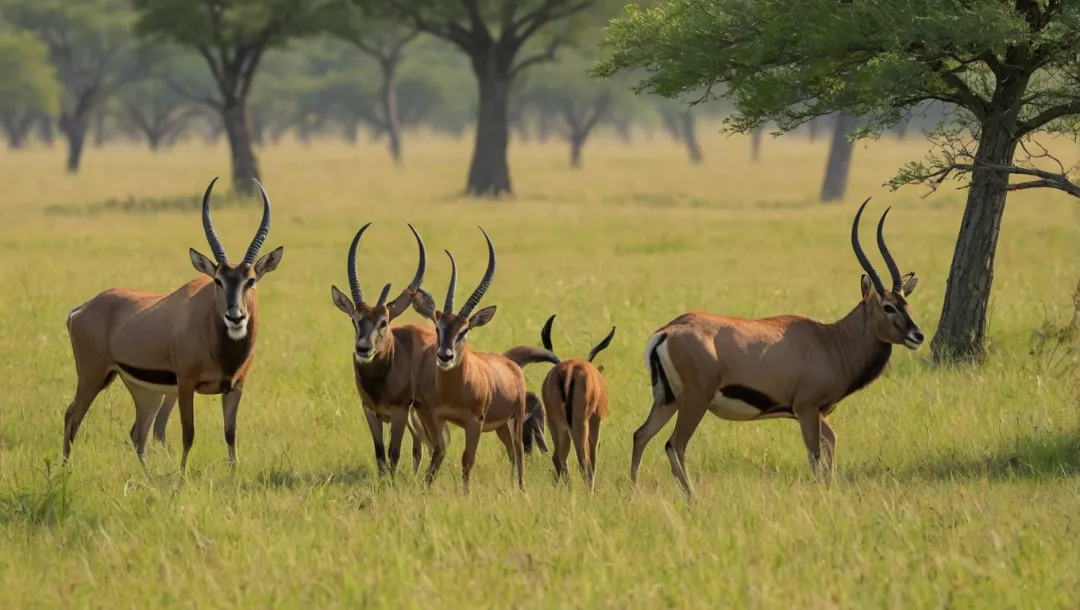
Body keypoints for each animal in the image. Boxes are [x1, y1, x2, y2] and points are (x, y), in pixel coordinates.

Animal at [61, 177, 282, 475]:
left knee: (138, 434)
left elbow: (230, 434)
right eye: (218, 280)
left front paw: (233, 477)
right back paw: (62, 475)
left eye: (251, 280)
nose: (235, 317)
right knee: (72, 417)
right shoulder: (187, 385)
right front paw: (181, 479)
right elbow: (189, 434)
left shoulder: (235, 386)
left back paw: (151, 479)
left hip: (146, 392)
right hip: (93, 377)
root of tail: (81, 309)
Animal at [328, 221, 447, 477]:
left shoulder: (399, 413)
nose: (363, 348)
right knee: (420, 444)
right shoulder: (370, 411)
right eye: (355, 319)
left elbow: (394, 452)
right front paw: (384, 479)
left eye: (383, 322)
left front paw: (391, 482)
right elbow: (380, 453)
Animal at [410, 225, 557, 492]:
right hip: (500, 427)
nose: (445, 356)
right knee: (511, 453)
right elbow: (438, 452)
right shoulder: (437, 417)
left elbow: (467, 459)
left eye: (464, 330)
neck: (455, 388)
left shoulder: (474, 422)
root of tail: (510, 362)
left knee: (520, 453)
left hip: (515, 421)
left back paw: (521, 488)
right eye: (437, 327)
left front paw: (465, 494)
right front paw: (425, 489)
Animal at [535, 317, 613, 488]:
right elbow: (593, 452)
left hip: (556, 421)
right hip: (580, 421)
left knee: (558, 456)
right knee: (583, 457)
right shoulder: (596, 419)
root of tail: (569, 369)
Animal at [630, 198, 920, 494]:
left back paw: (633, 493)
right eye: (887, 306)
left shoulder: (819, 413)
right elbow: (815, 455)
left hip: (667, 400)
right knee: (674, 444)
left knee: (641, 434)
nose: (917, 335)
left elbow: (831, 444)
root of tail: (668, 331)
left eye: (905, 303)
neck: (831, 340)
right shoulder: (806, 410)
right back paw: (693, 497)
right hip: (694, 402)